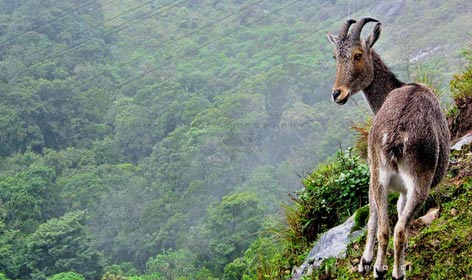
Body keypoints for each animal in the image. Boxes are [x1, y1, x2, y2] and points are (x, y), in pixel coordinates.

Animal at [326, 18, 448, 280]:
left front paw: (366, 260)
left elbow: (377, 214)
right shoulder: (396, 185)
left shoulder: (379, 176)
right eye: (335, 56)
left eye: (357, 54)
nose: (337, 94)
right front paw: (366, 259)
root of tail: (395, 137)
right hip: (418, 180)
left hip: (382, 178)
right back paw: (395, 271)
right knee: (397, 228)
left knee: (385, 226)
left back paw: (381, 269)